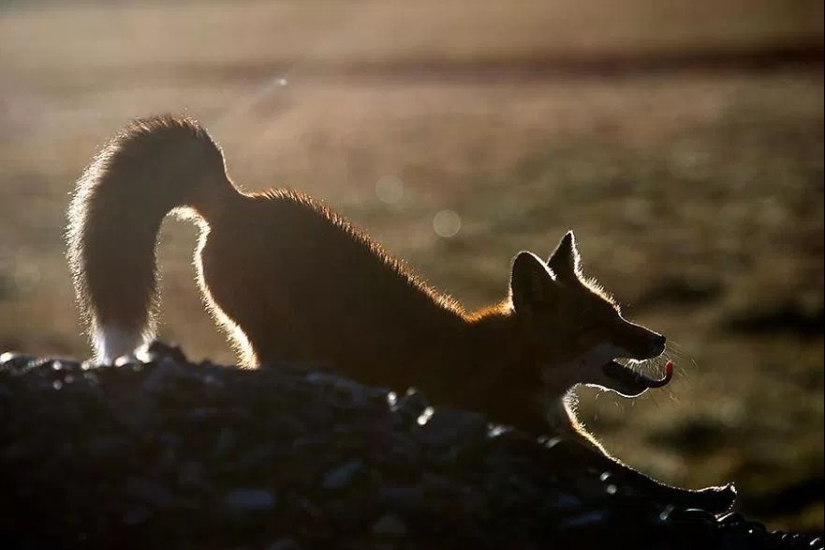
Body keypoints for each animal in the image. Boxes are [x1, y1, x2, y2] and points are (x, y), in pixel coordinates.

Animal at [64, 114, 732, 516]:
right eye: (595, 326)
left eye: (618, 313)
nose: (657, 338)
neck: (519, 368)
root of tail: (236, 199)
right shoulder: (531, 434)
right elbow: (632, 482)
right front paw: (703, 501)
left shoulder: (568, 434)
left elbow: (640, 475)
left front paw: (702, 494)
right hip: (278, 343)